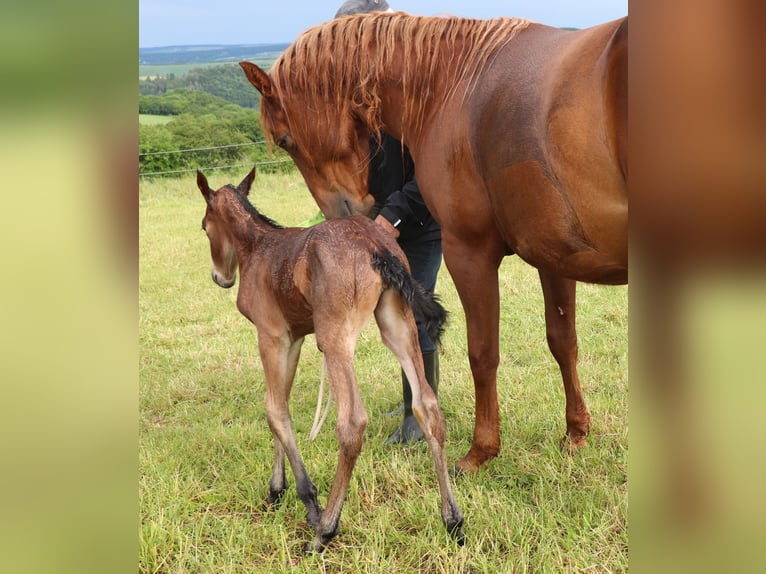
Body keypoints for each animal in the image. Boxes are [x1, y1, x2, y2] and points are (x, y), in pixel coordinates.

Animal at [196, 168, 464, 552]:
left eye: (205, 227)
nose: (220, 278)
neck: (258, 247)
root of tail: (375, 245)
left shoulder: (271, 337)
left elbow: (274, 411)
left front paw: (307, 500)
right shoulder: (294, 339)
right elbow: (282, 406)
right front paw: (276, 490)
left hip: (335, 337)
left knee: (351, 423)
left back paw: (325, 531)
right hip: (398, 324)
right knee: (427, 406)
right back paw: (452, 520)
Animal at [239, 11, 628, 472]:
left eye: (285, 140)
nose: (349, 213)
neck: (455, 83)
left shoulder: (469, 254)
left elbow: (482, 353)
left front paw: (480, 452)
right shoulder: (555, 256)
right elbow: (563, 342)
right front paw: (576, 433)